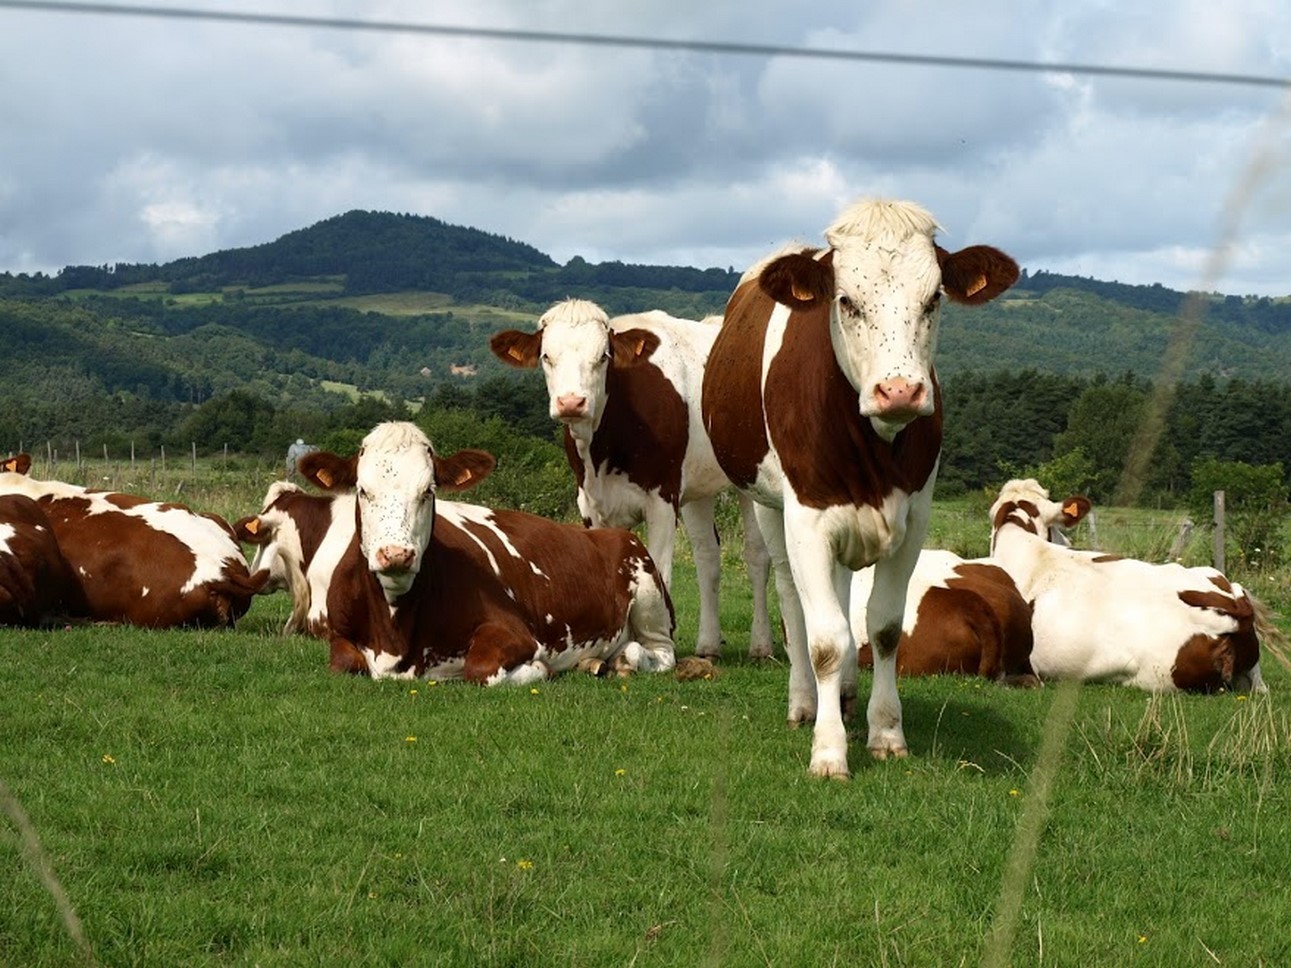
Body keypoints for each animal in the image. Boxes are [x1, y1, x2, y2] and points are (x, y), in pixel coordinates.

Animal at [293, 423, 676, 681]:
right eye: (362, 490)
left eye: (428, 491)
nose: (396, 554)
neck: (394, 631)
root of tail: (608, 533)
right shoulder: (339, 634)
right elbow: (343, 662)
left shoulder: (515, 632)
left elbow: (480, 667)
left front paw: (539, 668)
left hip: (649, 593)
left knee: (657, 651)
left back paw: (626, 659)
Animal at [487, 303, 769, 665]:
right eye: (546, 356)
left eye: (603, 356)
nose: (571, 402)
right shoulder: (590, 504)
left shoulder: (662, 499)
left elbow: (659, 573)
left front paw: (658, 648)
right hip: (698, 488)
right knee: (707, 556)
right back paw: (707, 646)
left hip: (748, 482)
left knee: (757, 554)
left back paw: (761, 646)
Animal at [697, 198, 1017, 779]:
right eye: (846, 301)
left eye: (934, 298)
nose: (900, 390)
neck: (875, 446)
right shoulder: (806, 517)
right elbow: (823, 636)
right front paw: (828, 749)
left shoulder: (913, 519)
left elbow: (884, 626)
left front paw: (885, 731)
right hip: (766, 506)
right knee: (790, 597)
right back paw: (805, 702)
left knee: (845, 595)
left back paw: (844, 693)